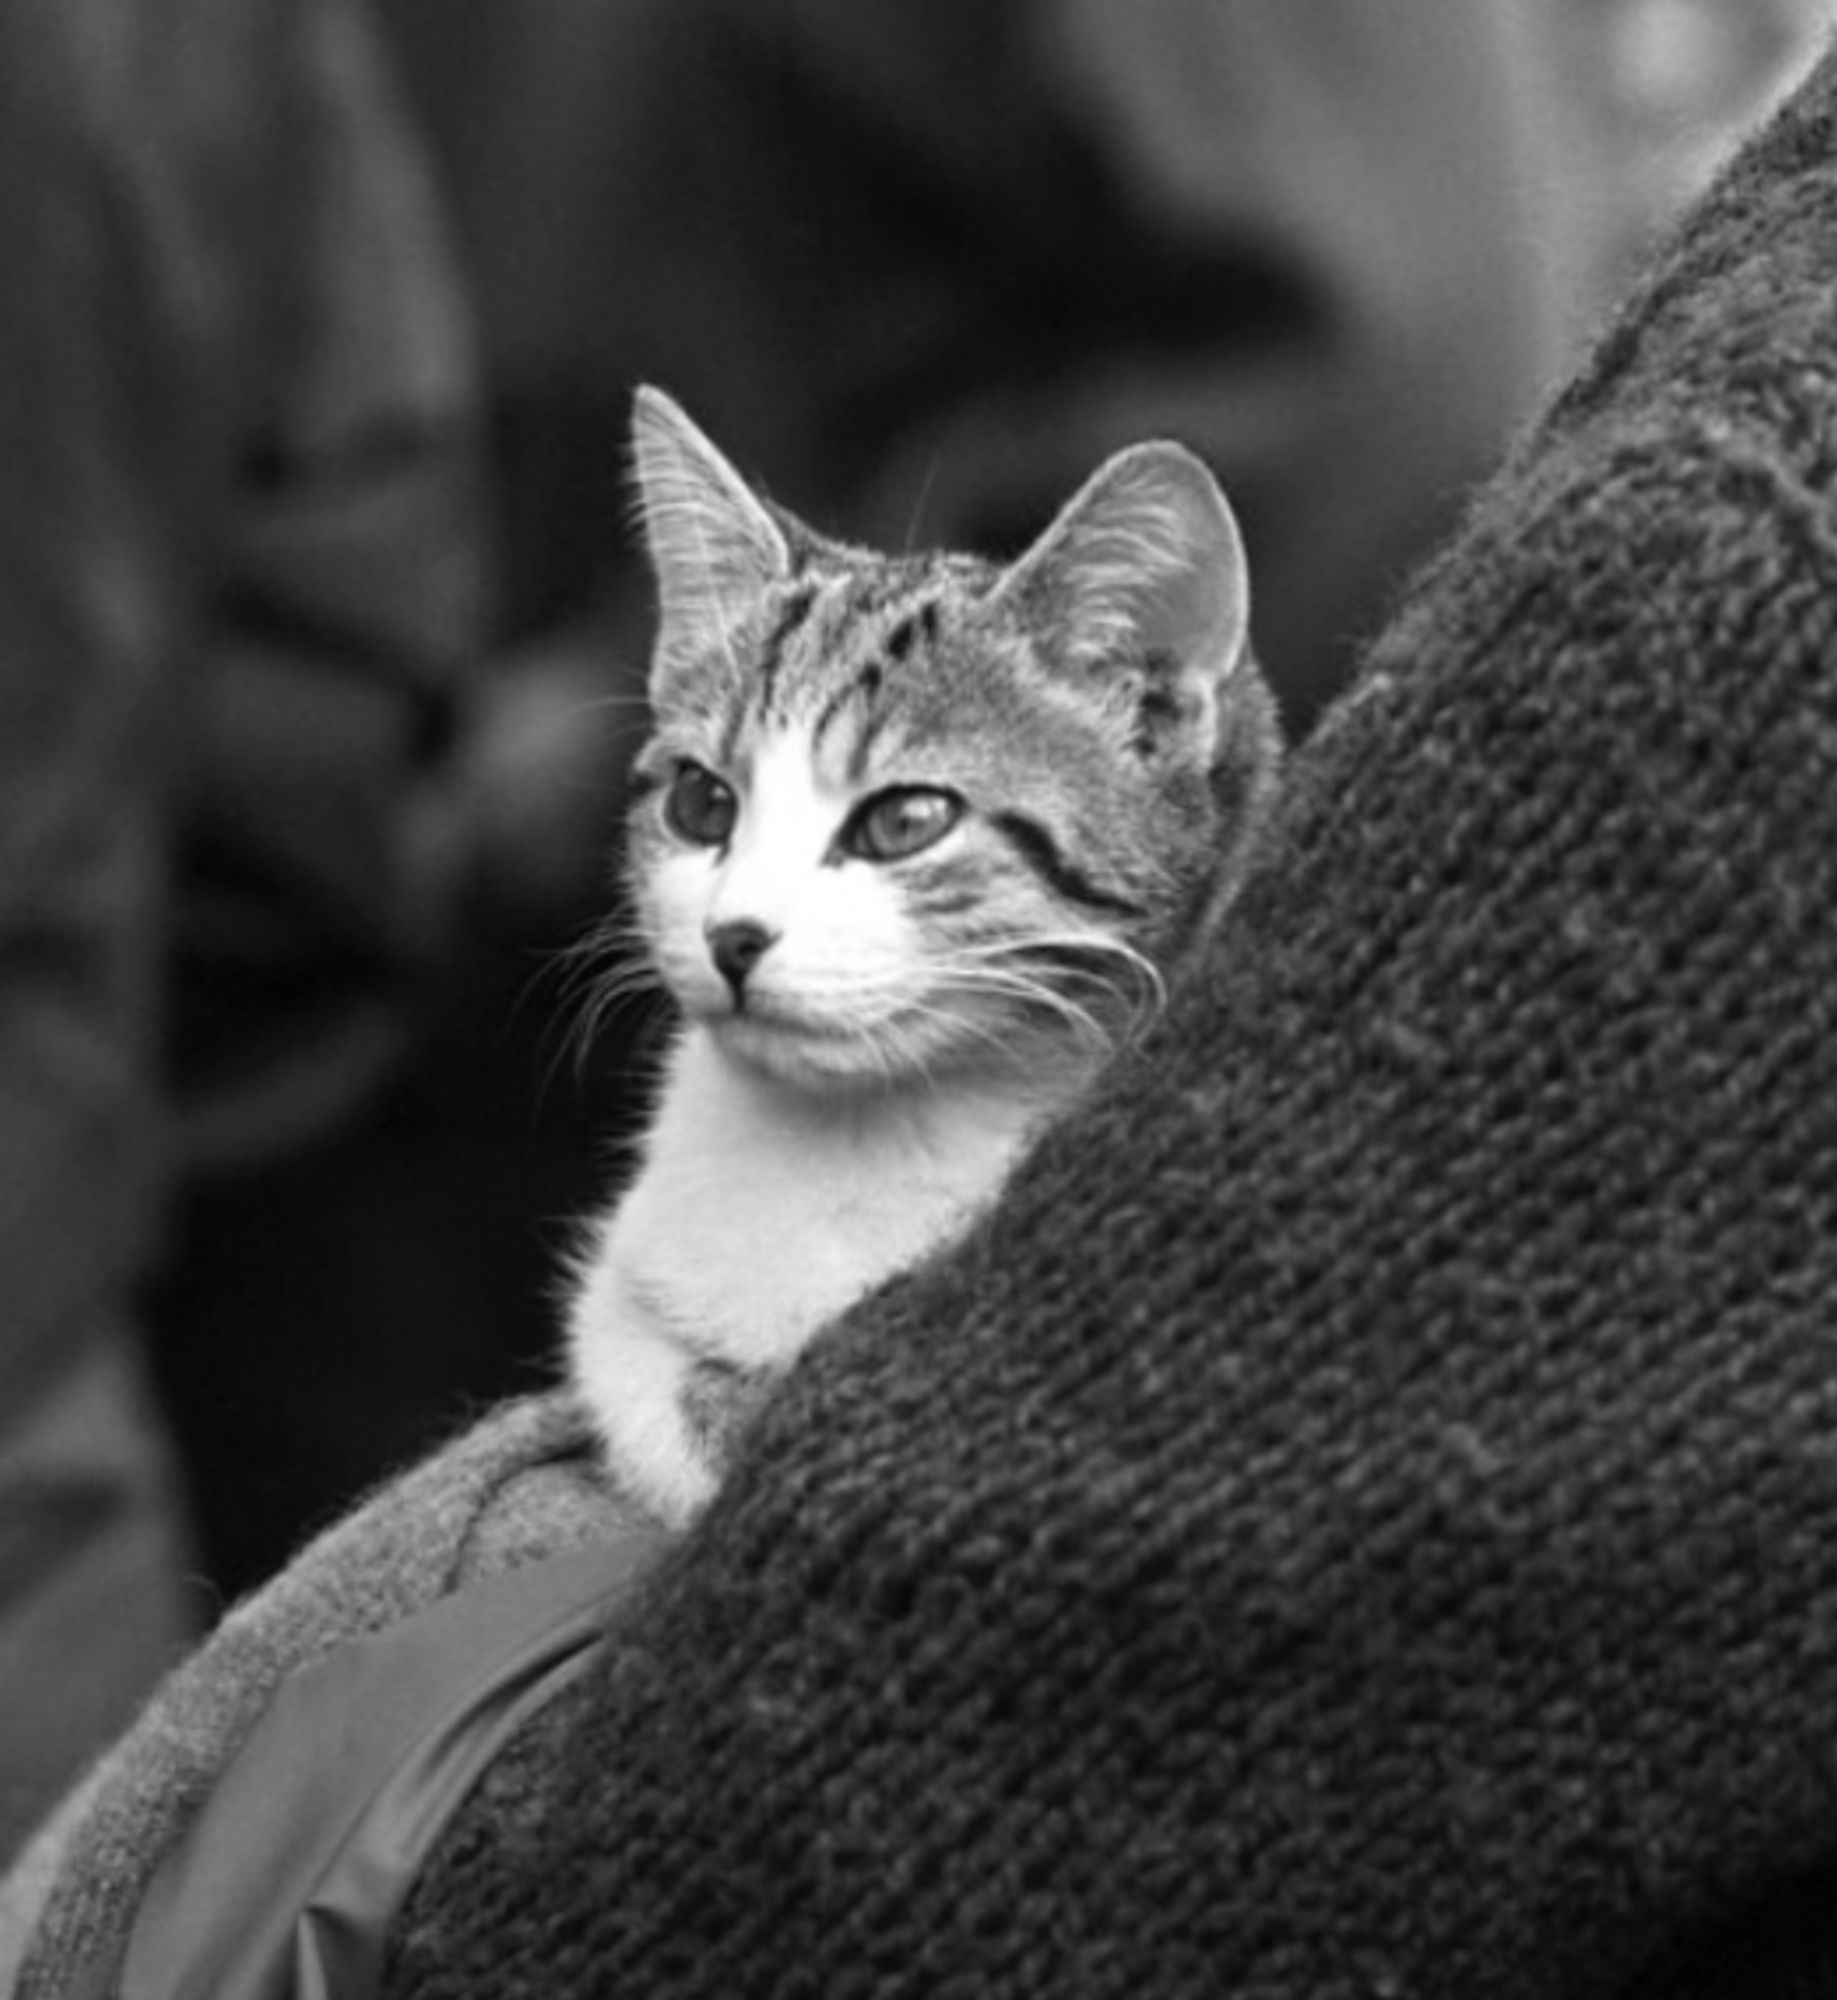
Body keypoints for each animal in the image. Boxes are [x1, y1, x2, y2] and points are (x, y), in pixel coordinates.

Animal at [564, 386, 1280, 1512]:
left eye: (905, 820)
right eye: (700, 801)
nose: (731, 936)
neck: (873, 1127)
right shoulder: (628, 1297)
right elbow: (641, 1371)